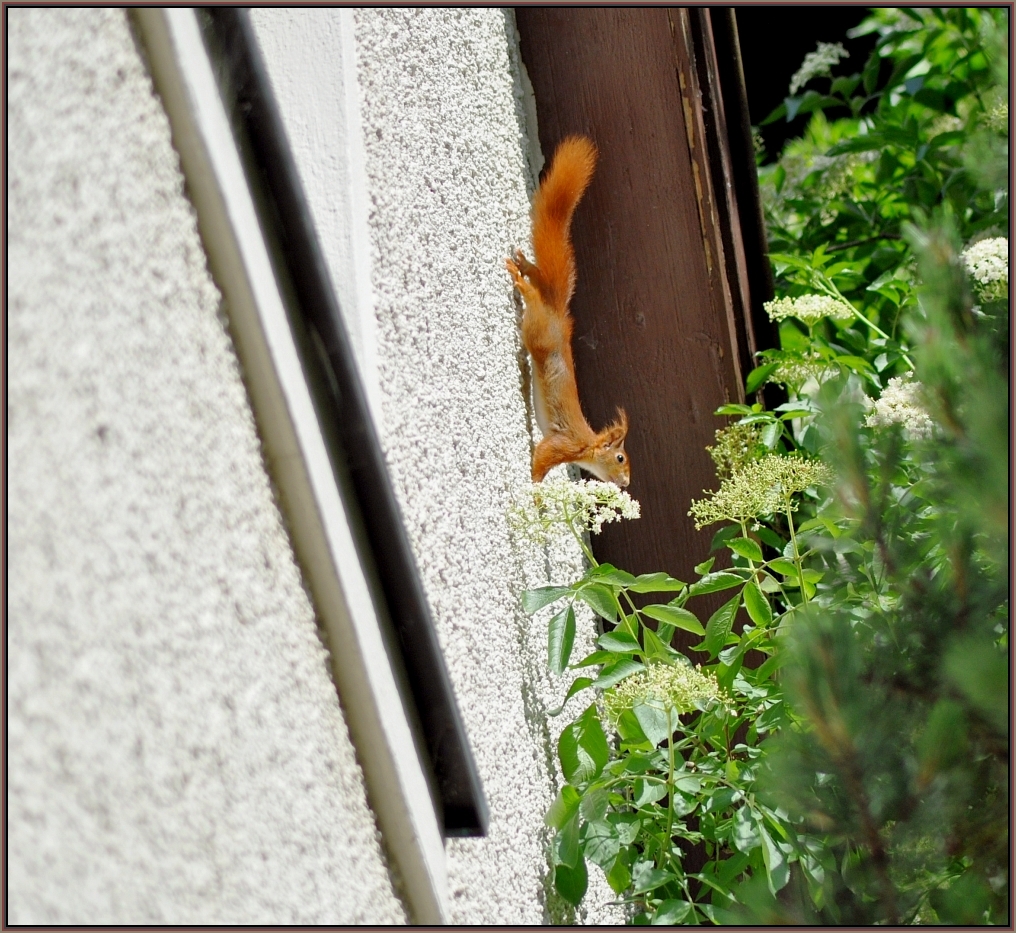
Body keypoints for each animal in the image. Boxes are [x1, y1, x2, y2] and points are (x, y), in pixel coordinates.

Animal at [505, 139, 625, 493]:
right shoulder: (563, 444)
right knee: (532, 298)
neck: (587, 447)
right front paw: (535, 488)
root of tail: (558, 314)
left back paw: (524, 265)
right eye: (620, 458)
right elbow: (542, 458)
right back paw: (520, 280)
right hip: (538, 330)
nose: (626, 482)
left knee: (537, 278)